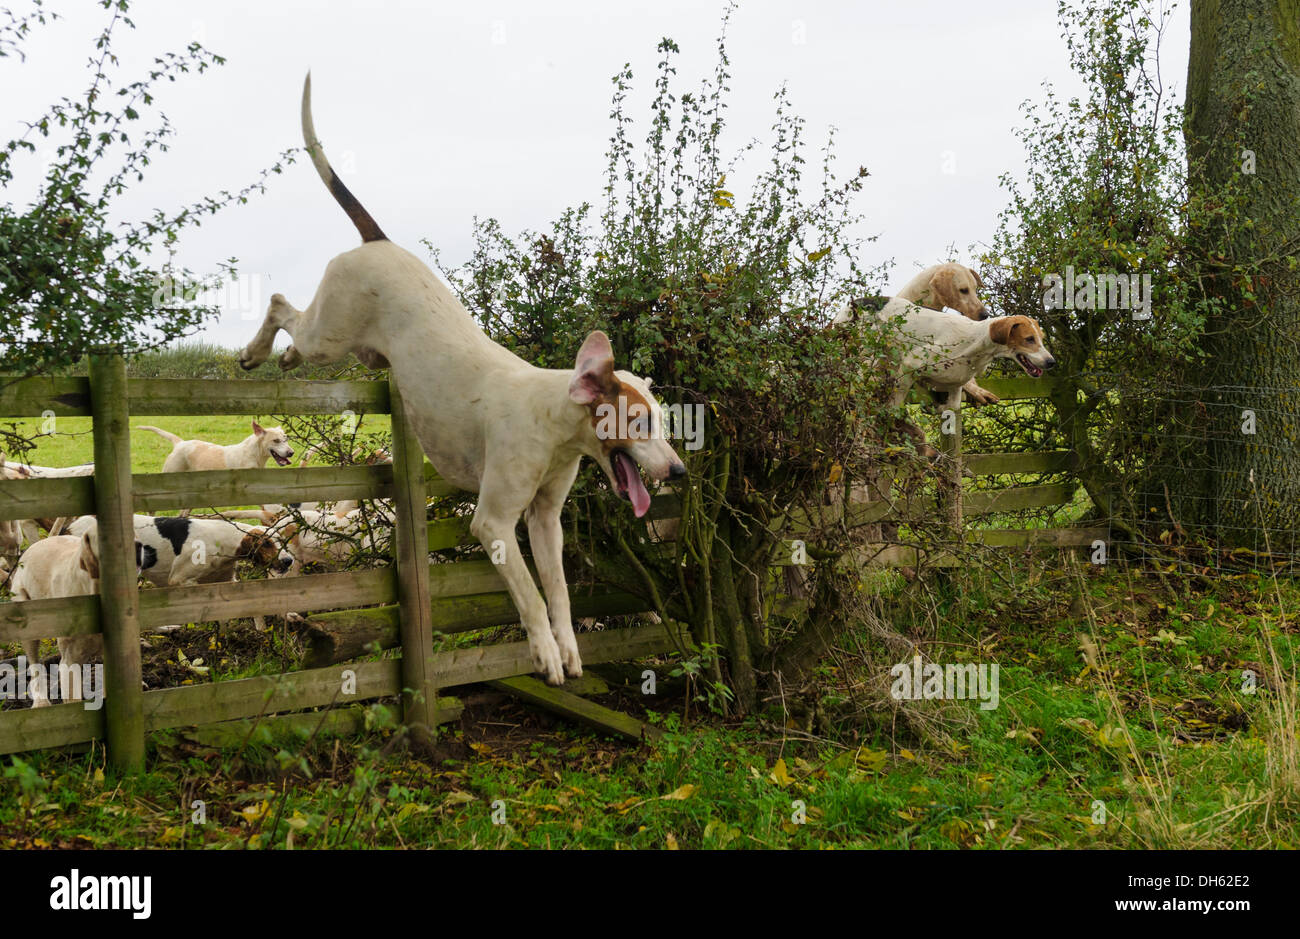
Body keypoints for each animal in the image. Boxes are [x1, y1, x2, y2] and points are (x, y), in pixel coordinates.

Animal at [235, 75, 686, 681]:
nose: (679, 471)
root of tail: (379, 241)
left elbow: (559, 591)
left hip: (340, 342)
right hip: (327, 334)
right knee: (283, 306)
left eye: (660, 422)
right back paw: (258, 352)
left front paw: (568, 647)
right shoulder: (493, 526)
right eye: (637, 423)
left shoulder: (546, 521)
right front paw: (544, 651)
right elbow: (530, 594)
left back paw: (278, 359)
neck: (553, 424)